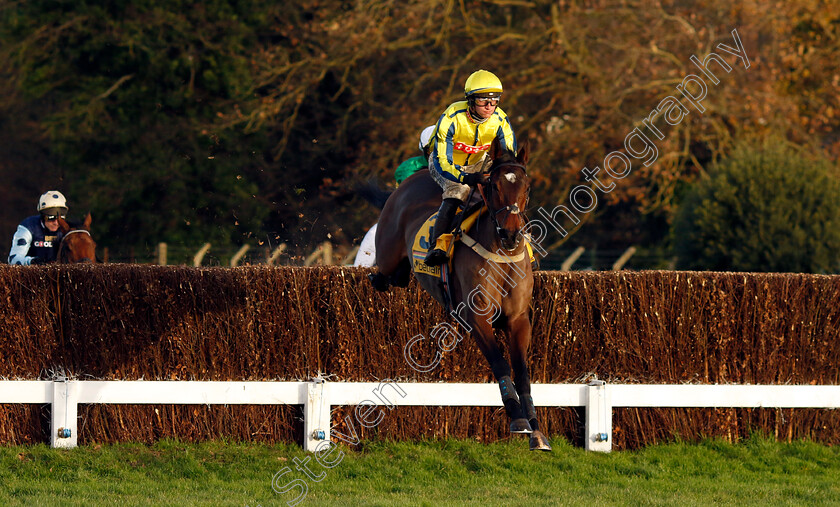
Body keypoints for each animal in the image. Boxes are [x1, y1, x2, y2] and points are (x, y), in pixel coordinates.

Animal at [370, 138, 552, 452]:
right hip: (388, 257)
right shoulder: (477, 317)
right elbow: (500, 362)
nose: (511, 235)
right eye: (493, 185)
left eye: (527, 187)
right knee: (384, 276)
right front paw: (517, 418)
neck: (501, 253)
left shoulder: (518, 319)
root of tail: (414, 178)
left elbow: (522, 371)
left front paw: (536, 429)